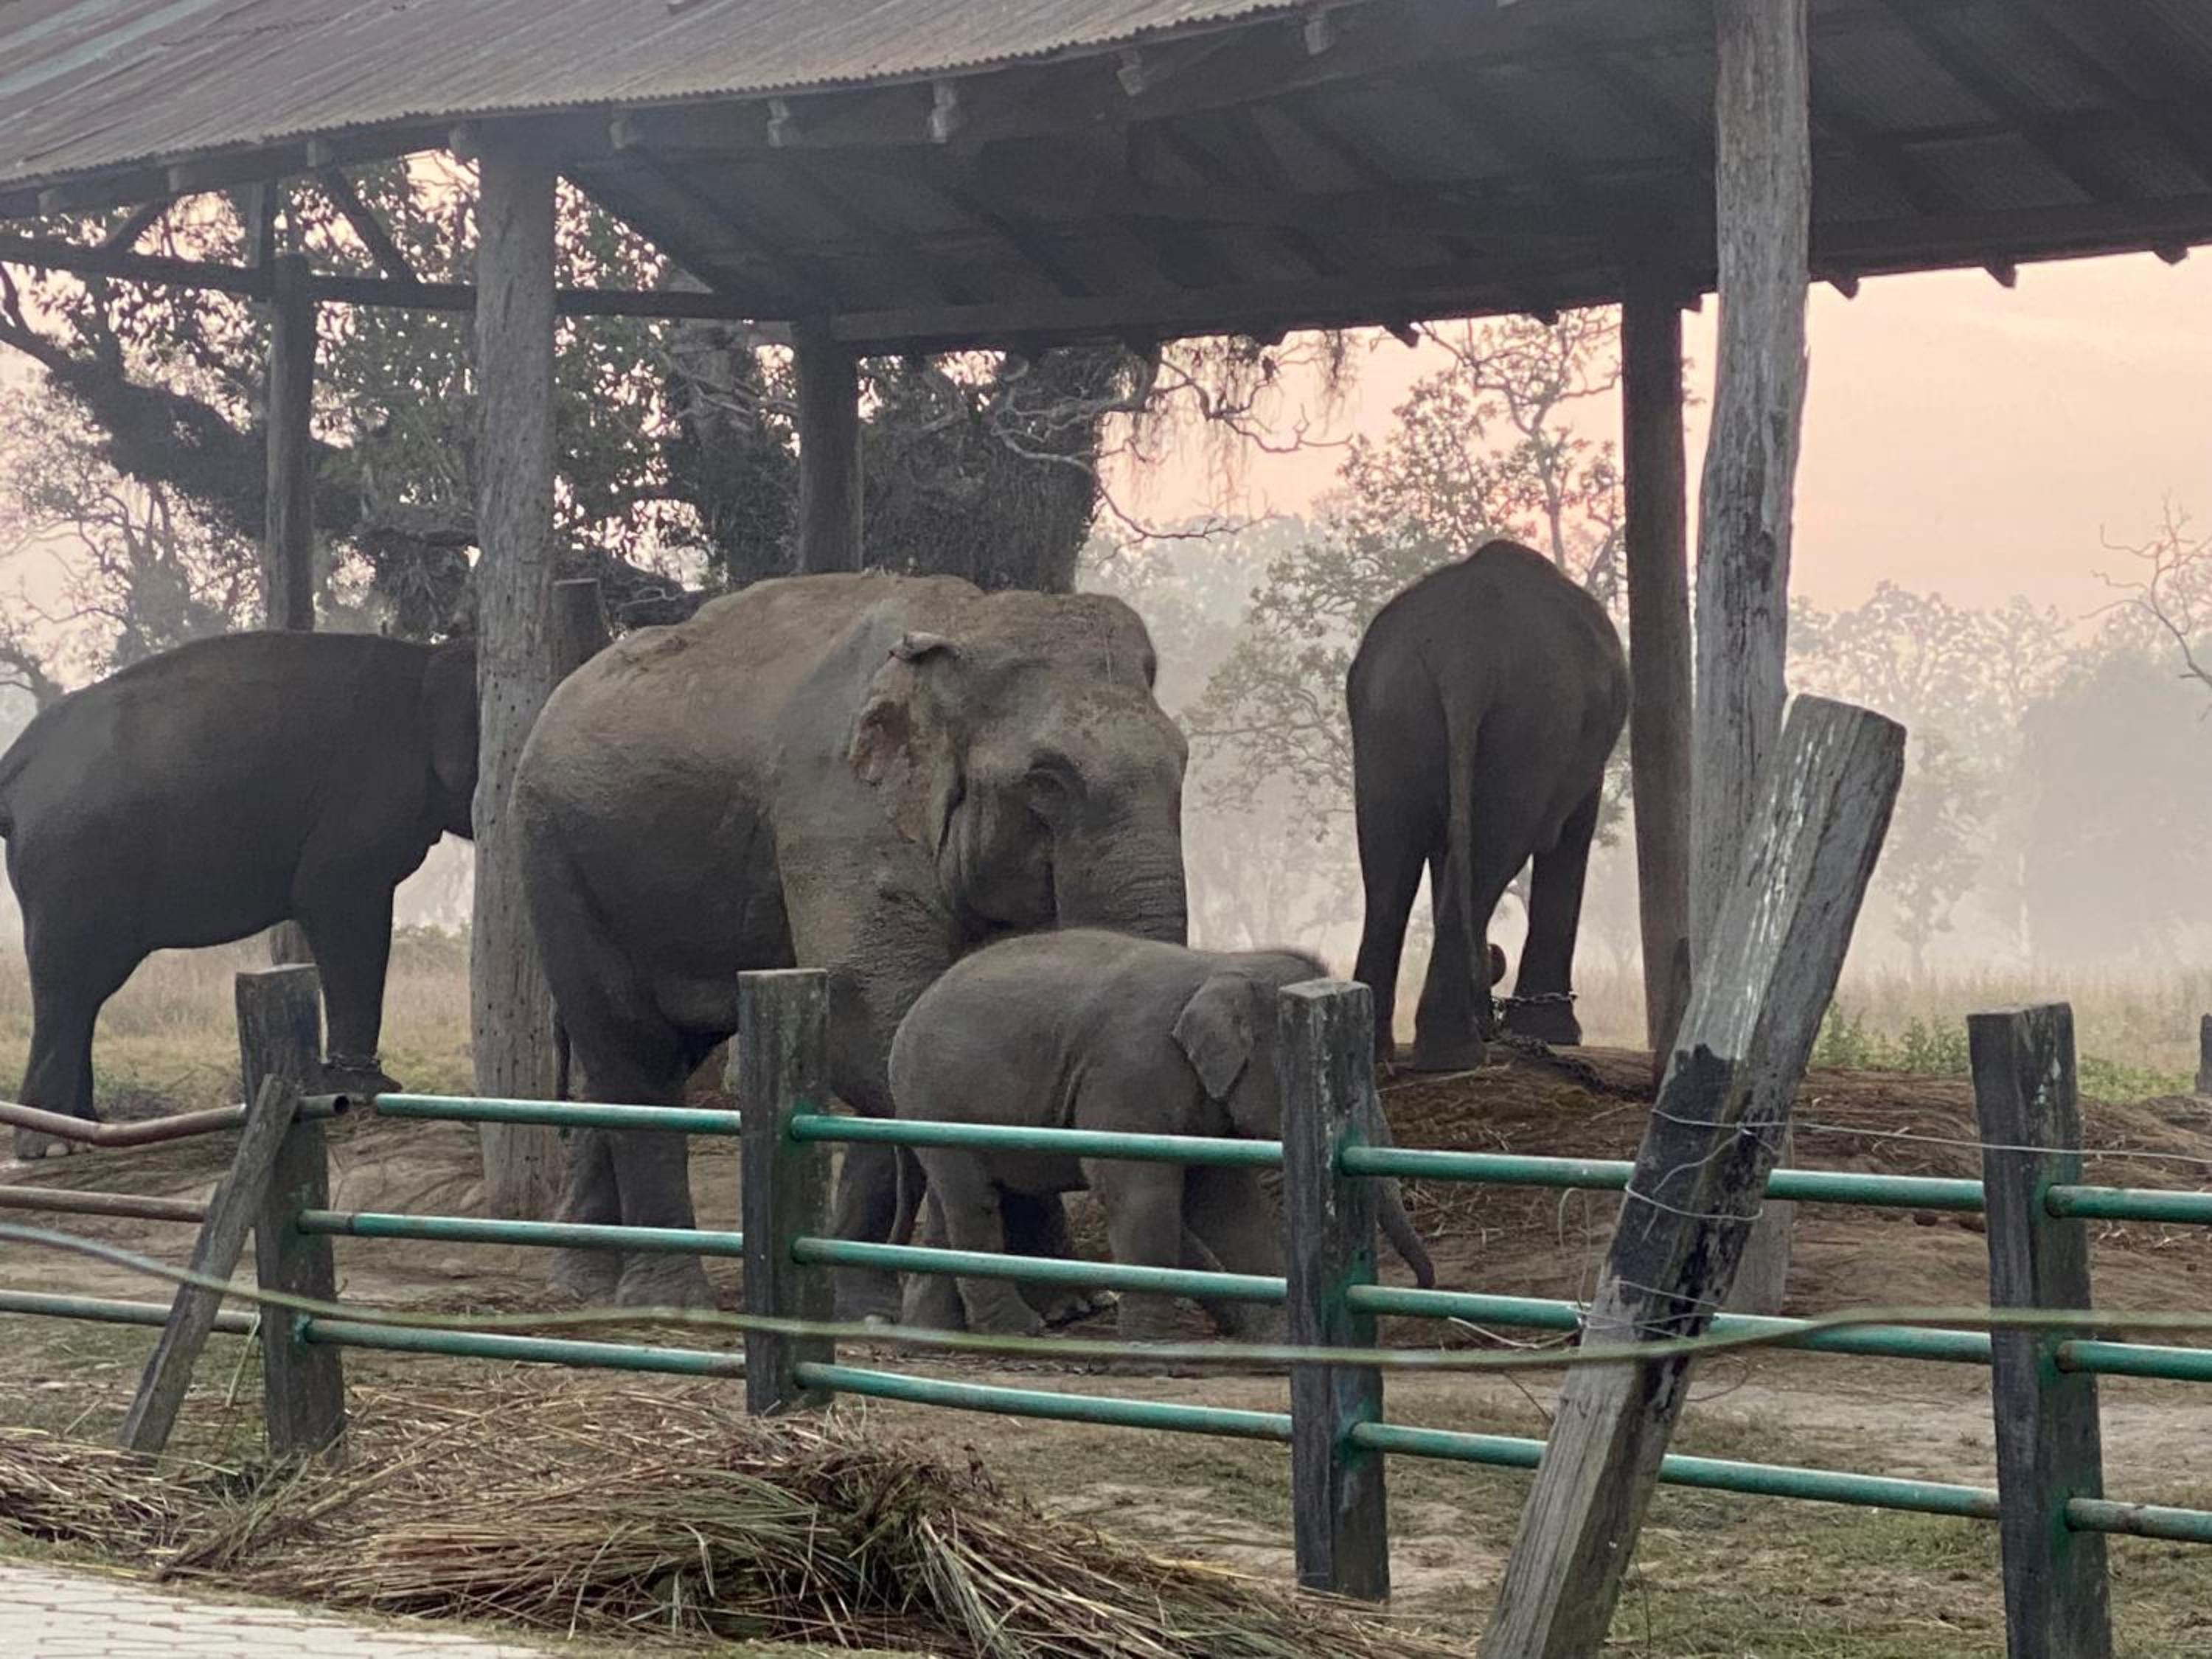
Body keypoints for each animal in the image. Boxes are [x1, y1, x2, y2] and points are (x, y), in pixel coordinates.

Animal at [0, 631, 477, 1157]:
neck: (428, 660)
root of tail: (18, 758)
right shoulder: (362, 799)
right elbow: (336, 901)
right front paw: (368, 1091)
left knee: (86, 990)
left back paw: (85, 1130)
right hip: (72, 861)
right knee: (67, 983)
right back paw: (52, 1146)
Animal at [513, 572, 1188, 1312]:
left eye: (1185, 761)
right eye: (1046, 778)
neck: (961, 622)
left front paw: (885, 1310)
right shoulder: (837, 809)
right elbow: (869, 1009)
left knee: (639, 1060)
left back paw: (582, 1282)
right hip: (557, 861)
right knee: (634, 1054)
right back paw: (664, 1299)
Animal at [886, 929, 1436, 1343]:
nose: (1423, 1288)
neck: (1221, 966)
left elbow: (1228, 1203)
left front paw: (1278, 1339)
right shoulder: (1132, 1071)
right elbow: (1140, 1193)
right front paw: (1148, 1348)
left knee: (949, 1206)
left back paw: (931, 1334)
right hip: (938, 1102)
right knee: (973, 1201)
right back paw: (1019, 1331)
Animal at [1349, 540, 1627, 1072]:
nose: (1495, 959)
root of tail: (1465, 649)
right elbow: (1571, 834)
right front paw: (1557, 1035)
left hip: (1388, 712)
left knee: (1389, 860)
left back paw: (1383, 1055)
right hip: (1533, 723)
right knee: (1492, 850)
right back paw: (1456, 1054)